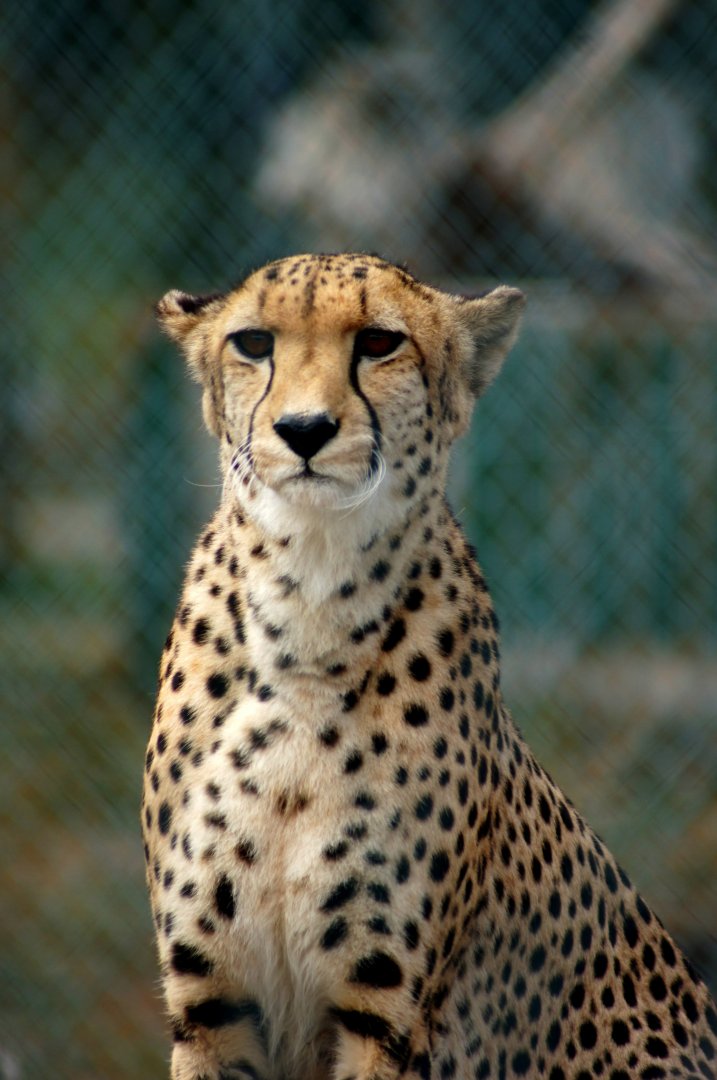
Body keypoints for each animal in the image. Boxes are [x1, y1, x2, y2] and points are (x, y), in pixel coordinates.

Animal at [142, 252, 716, 1080]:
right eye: (252, 342)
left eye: (379, 342)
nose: (304, 429)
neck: (307, 603)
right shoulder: (212, 1005)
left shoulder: (385, 1017)